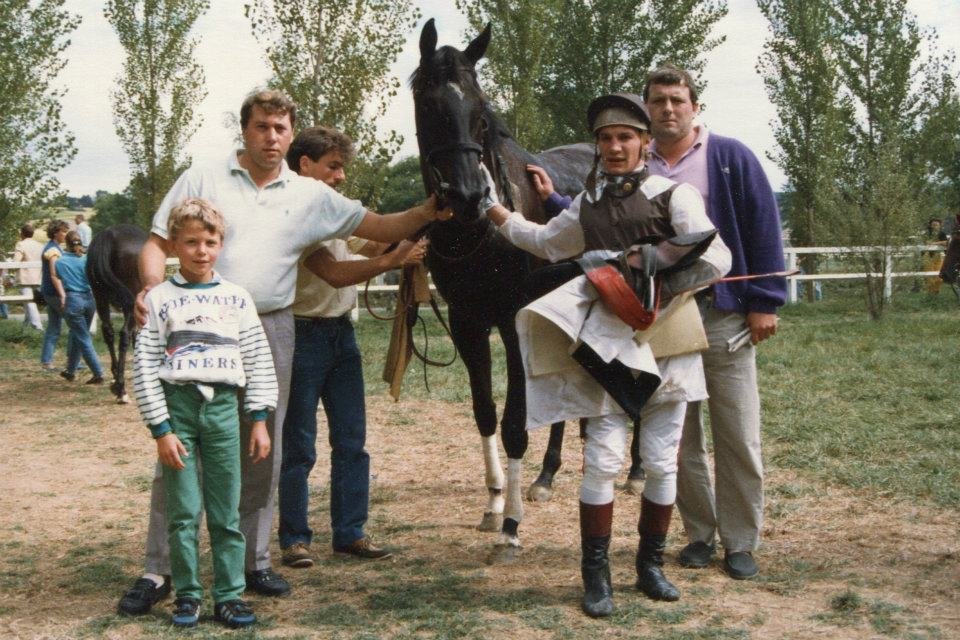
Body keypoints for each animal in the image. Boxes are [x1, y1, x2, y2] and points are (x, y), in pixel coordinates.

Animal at [85, 224, 148, 403]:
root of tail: (109, 235)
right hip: (130, 302)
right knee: (124, 335)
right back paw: (121, 389)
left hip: (100, 298)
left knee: (108, 332)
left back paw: (115, 379)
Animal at [412, 18, 598, 560]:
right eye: (430, 106)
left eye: (481, 113)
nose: (470, 195)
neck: (478, 235)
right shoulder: (466, 322)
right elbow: (485, 413)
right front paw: (495, 503)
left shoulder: (514, 321)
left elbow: (516, 421)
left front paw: (512, 526)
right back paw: (546, 477)